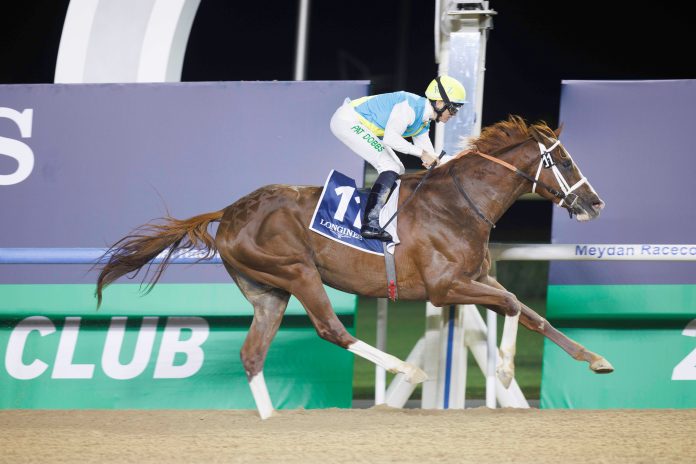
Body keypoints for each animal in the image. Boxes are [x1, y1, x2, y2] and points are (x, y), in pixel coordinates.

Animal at [96, 115, 616, 416]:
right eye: (564, 161)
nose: (595, 203)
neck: (458, 205)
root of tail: (231, 211)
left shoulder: (478, 277)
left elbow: (530, 313)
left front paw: (595, 358)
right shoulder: (446, 287)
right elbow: (509, 304)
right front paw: (505, 372)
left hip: (268, 292)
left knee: (253, 353)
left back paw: (270, 420)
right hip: (297, 271)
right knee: (332, 329)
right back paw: (408, 372)